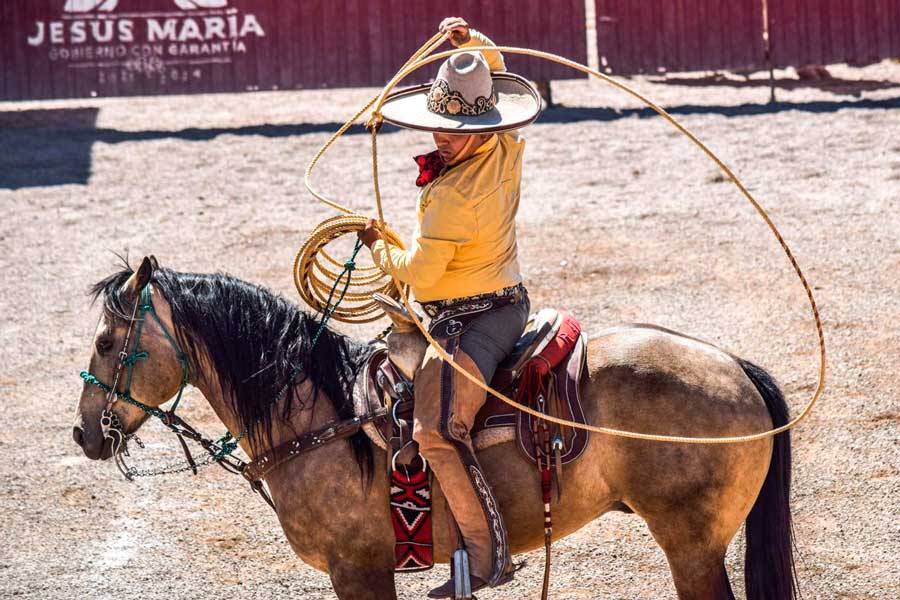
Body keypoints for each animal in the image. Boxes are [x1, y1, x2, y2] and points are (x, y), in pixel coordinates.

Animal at [74, 255, 800, 596]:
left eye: (108, 342)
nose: (85, 434)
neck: (320, 417)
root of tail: (732, 365)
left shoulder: (359, 572)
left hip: (692, 546)